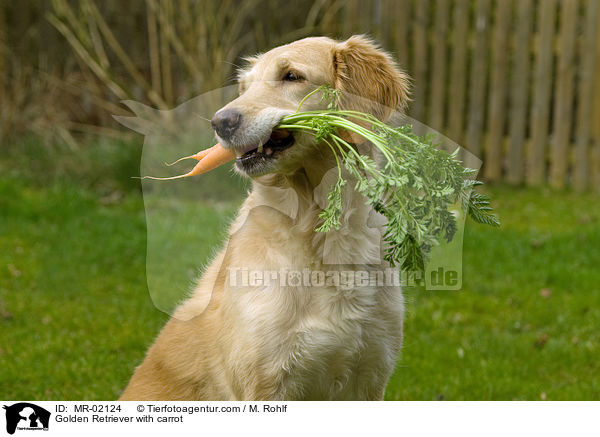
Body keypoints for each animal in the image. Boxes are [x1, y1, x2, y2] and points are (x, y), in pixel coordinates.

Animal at [122, 35, 412, 400]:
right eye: (244, 88)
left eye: (292, 76)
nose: (220, 123)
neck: (318, 230)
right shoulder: (266, 384)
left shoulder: (370, 375)